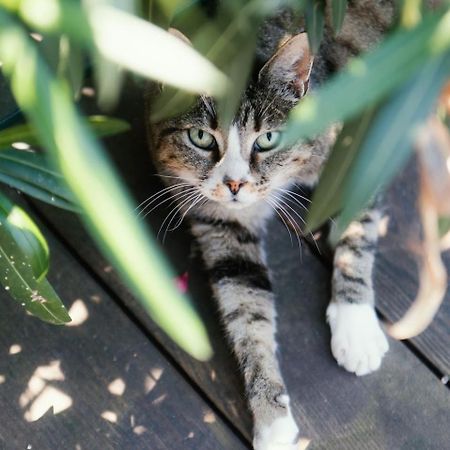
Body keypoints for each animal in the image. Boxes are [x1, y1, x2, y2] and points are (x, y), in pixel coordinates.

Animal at [147, 1, 394, 448]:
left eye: (267, 139)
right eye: (200, 137)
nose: (234, 184)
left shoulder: (358, 153)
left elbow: (357, 234)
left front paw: (355, 326)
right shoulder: (222, 226)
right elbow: (247, 313)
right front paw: (273, 419)